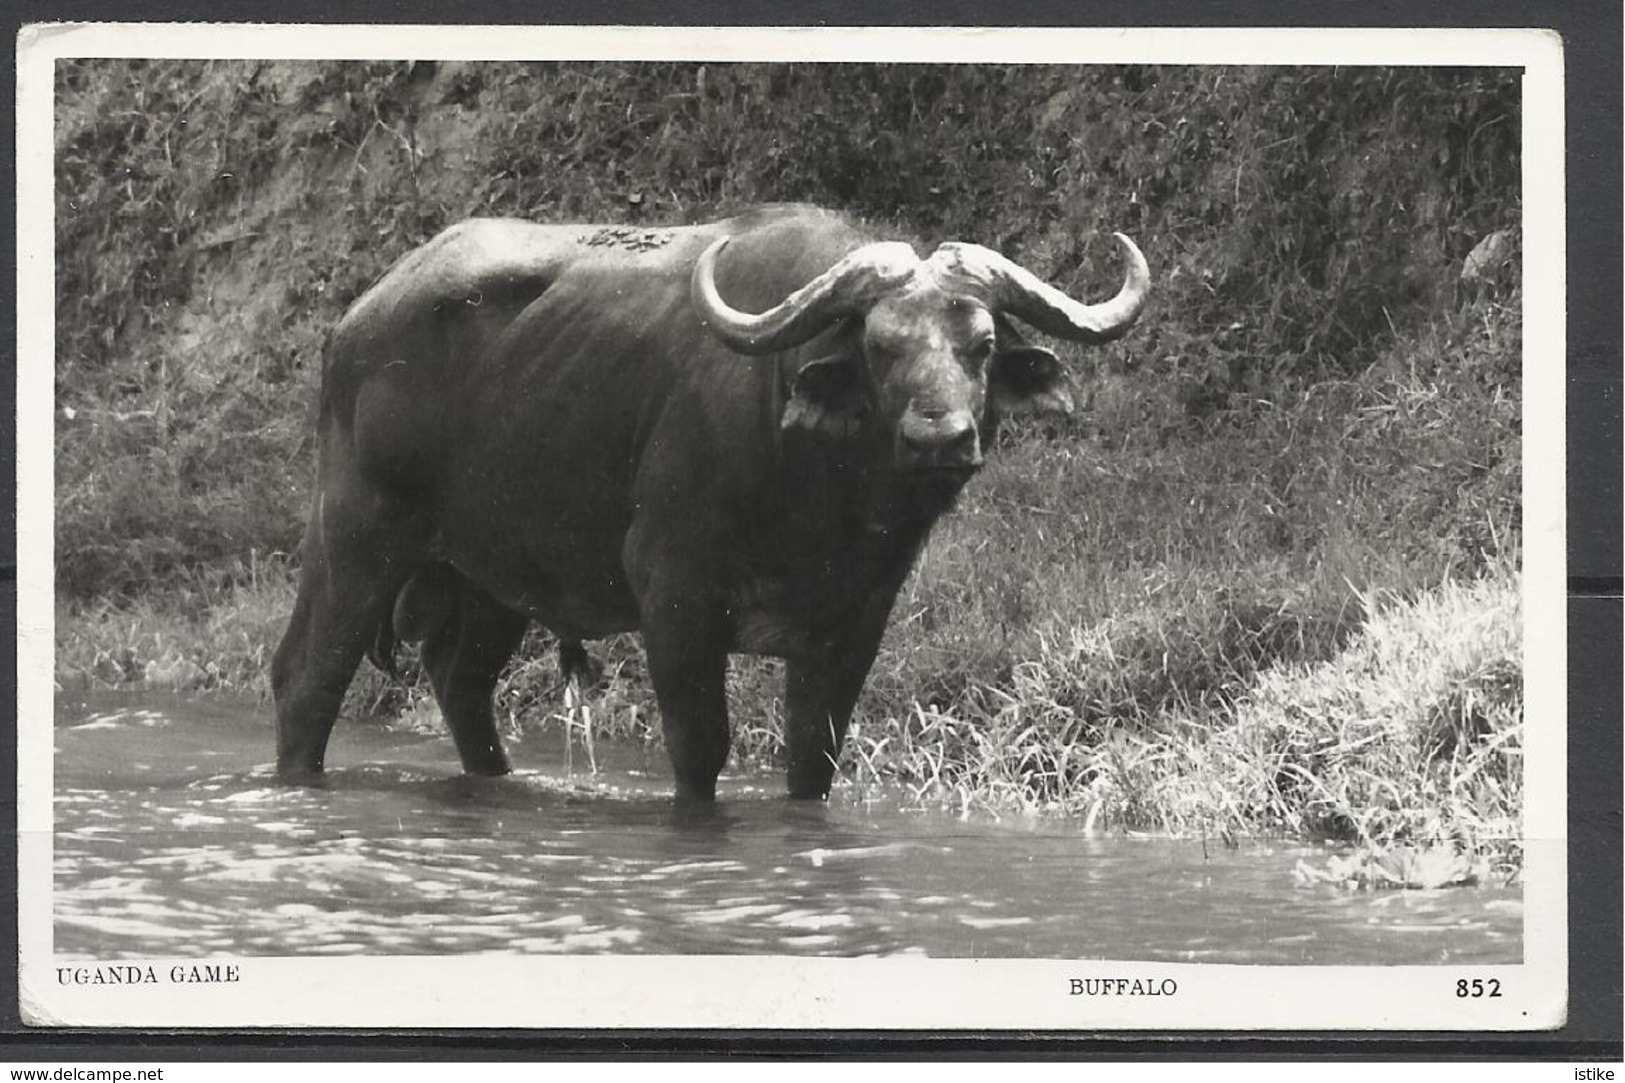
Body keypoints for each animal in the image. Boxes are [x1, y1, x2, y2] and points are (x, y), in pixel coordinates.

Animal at [273, 204, 1150, 793]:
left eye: (983, 344)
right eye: (879, 346)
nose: (940, 437)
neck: (817, 500)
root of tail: (356, 324)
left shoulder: (853, 621)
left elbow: (811, 756)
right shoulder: (674, 599)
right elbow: (700, 748)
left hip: (489, 575)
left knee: (459, 682)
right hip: (354, 538)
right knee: (306, 679)